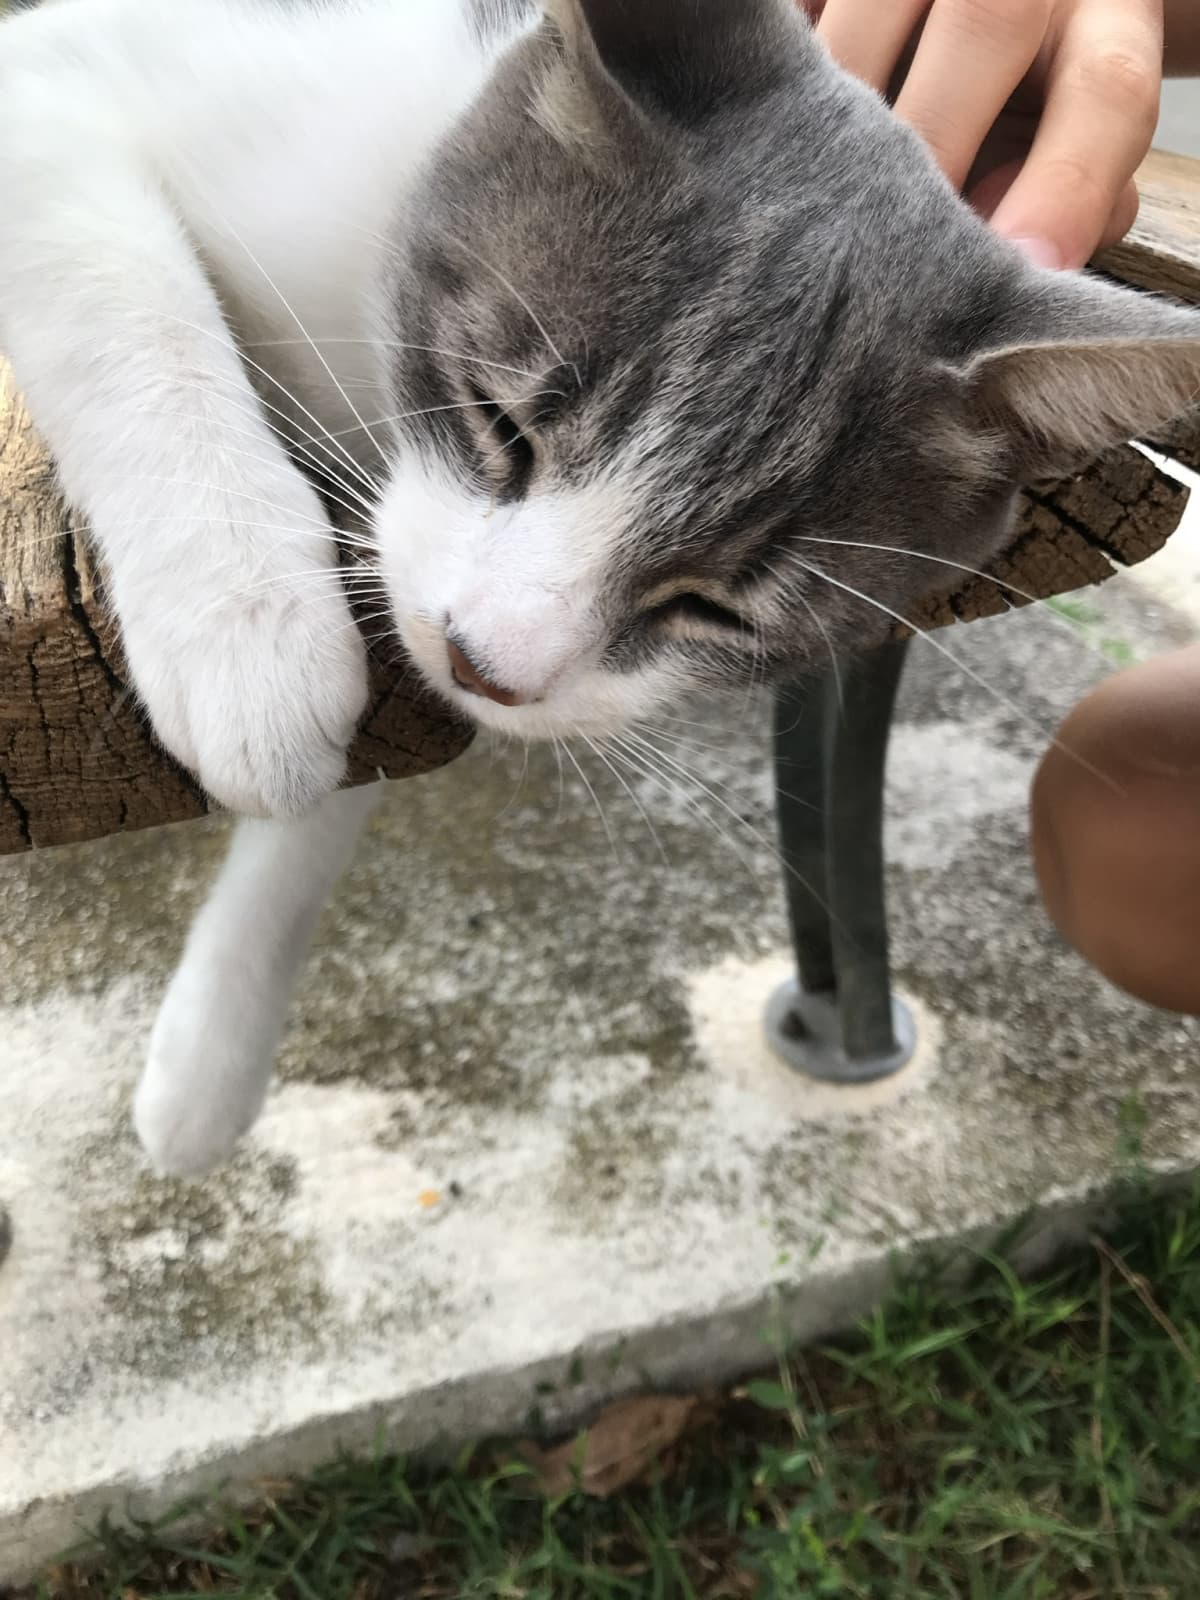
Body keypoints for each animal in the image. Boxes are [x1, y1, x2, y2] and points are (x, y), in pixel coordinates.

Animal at [2, 0, 1200, 1177]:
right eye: (500, 421)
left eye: (714, 606)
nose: (486, 662)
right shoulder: (81, 75)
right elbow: (124, 293)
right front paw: (249, 632)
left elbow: (345, 784)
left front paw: (212, 1056)